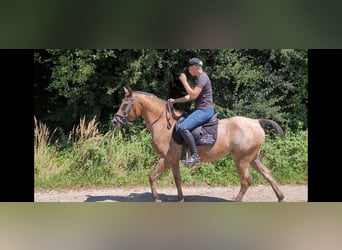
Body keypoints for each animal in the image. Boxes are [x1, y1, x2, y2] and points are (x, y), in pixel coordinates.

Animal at [112, 87, 286, 202]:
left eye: (126, 103)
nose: (115, 121)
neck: (164, 125)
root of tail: (256, 122)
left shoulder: (166, 159)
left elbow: (152, 176)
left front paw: (156, 198)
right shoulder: (173, 160)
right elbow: (177, 179)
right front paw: (180, 198)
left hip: (242, 160)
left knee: (246, 181)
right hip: (253, 158)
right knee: (268, 174)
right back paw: (280, 197)